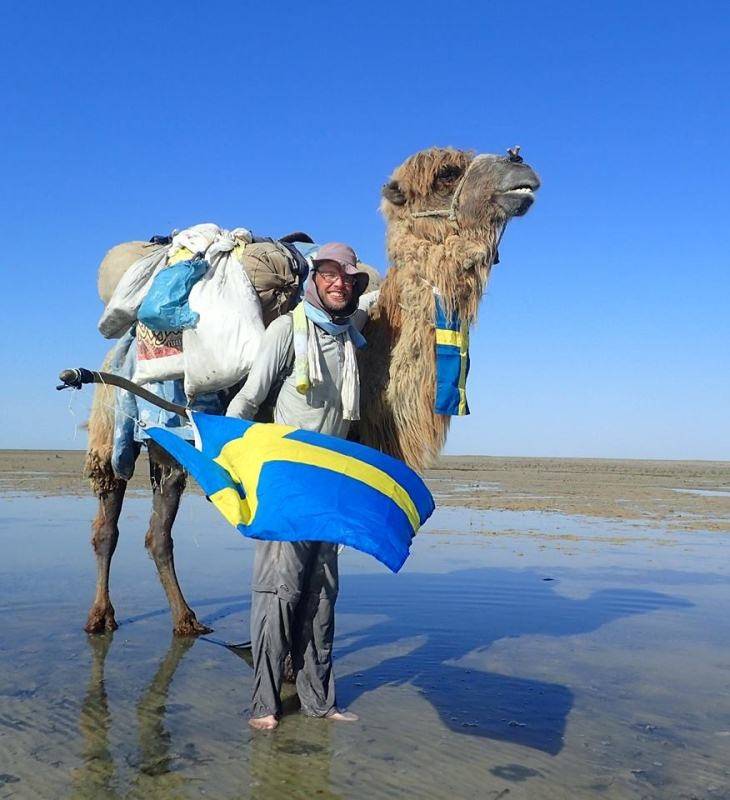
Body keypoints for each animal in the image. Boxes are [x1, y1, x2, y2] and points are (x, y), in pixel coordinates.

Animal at [83, 145, 540, 636]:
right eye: (447, 174)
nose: (519, 163)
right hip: (111, 425)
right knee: (107, 521)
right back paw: (100, 616)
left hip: (168, 448)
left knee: (159, 532)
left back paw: (187, 620)